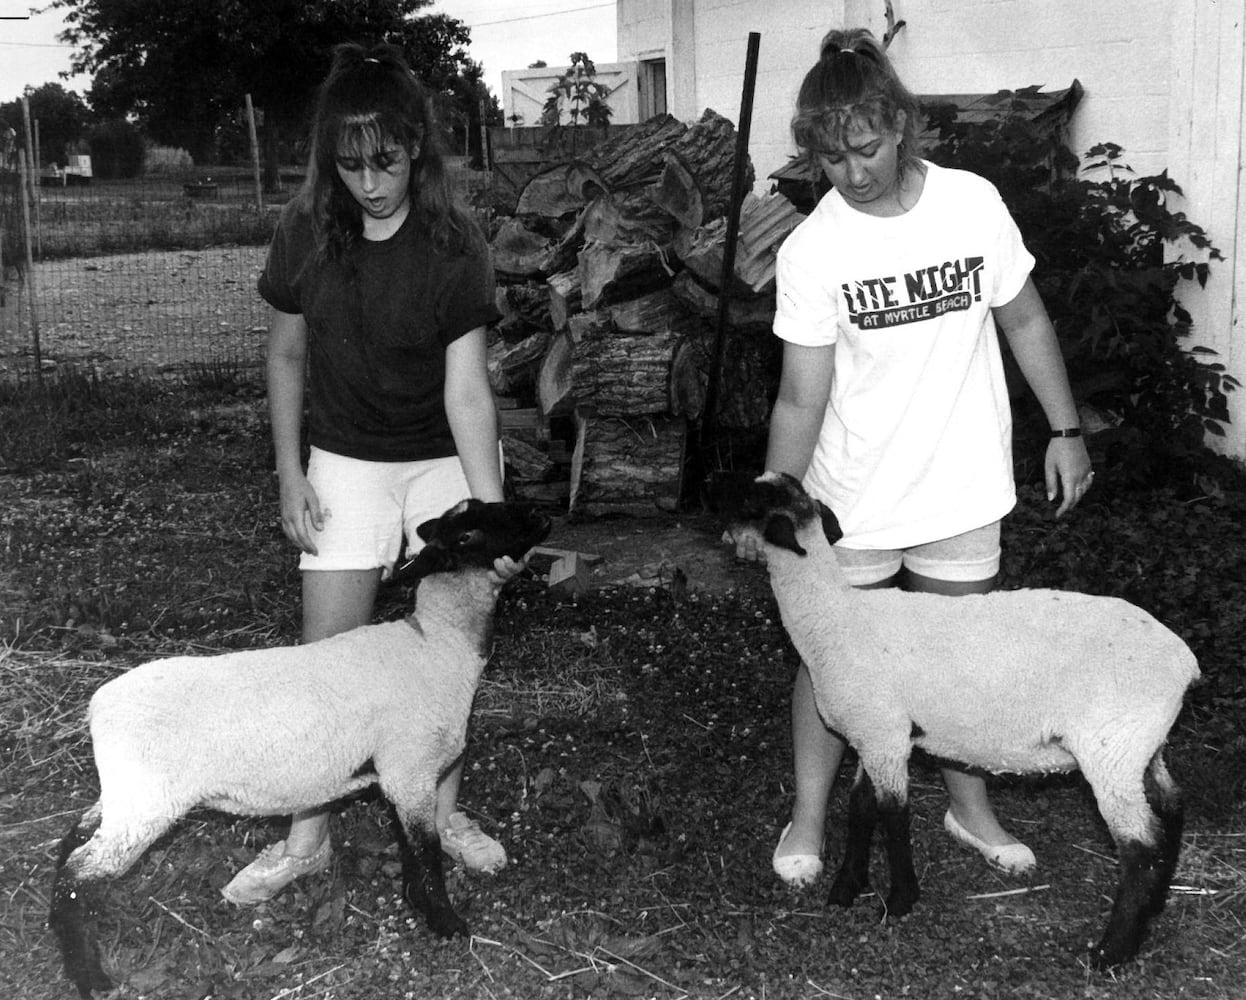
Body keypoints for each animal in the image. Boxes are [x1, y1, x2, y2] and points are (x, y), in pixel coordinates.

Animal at [52, 495, 550, 996]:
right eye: (468, 535)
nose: (542, 516)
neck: (438, 644)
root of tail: (99, 706)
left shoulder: (401, 777)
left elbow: (412, 849)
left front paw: (420, 905)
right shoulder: (410, 770)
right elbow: (425, 850)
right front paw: (447, 922)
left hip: (125, 793)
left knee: (71, 842)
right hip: (146, 802)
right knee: (79, 871)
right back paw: (89, 975)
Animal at [717, 470, 1201, 971]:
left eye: (748, 502)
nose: (714, 490)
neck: (834, 618)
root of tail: (1185, 663)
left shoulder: (883, 737)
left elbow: (893, 816)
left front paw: (900, 900)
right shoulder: (876, 734)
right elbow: (861, 809)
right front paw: (847, 888)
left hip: (1112, 749)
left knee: (1141, 847)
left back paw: (1112, 951)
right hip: (1143, 746)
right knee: (1172, 807)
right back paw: (1155, 906)